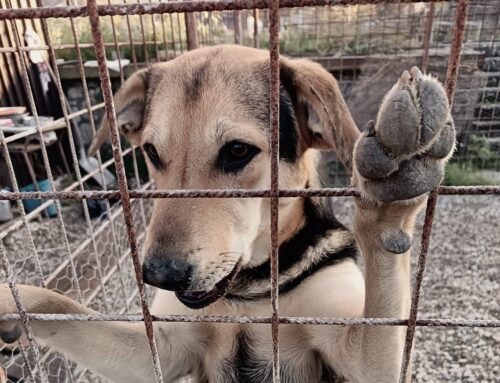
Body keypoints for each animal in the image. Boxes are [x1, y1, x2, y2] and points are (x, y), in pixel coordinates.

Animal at [0, 45, 456, 383]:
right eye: (151, 152)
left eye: (237, 151)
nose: (158, 275)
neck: (246, 292)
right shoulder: (161, 351)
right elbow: (67, 309)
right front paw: (13, 299)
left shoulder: (358, 354)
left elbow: (384, 302)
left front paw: (392, 185)